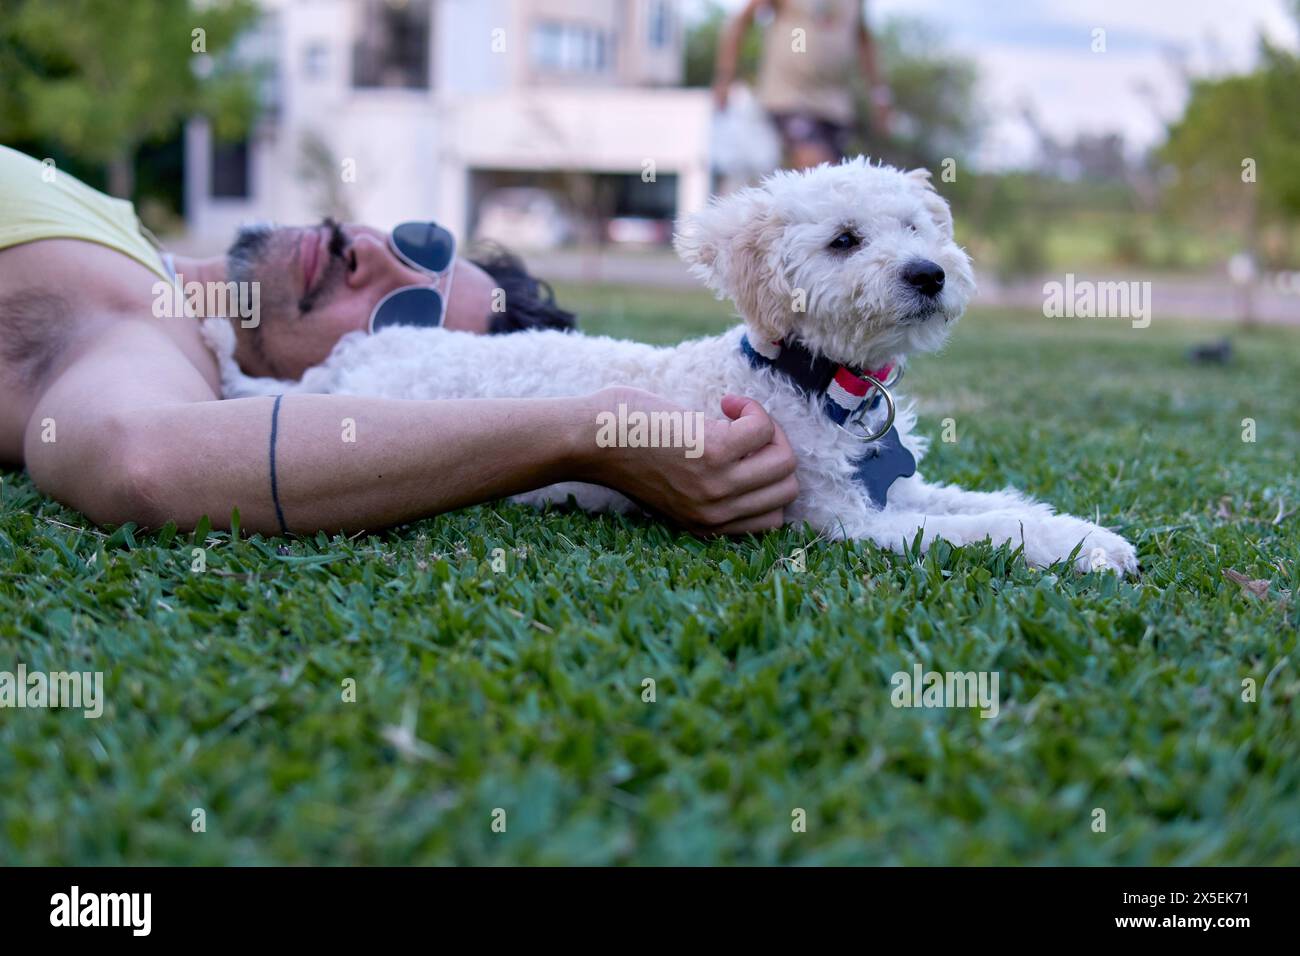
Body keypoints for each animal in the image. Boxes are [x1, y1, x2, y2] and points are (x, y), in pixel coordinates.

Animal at [210, 158, 1138, 574]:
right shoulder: (841, 521)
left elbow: (982, 501)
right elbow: (979, 528)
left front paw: (1085, 531)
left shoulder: (892, 490)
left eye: (918, 227)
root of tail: (345, 362)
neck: (811, 381)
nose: (929, 273)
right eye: (844, 240)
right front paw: (1069, 545)